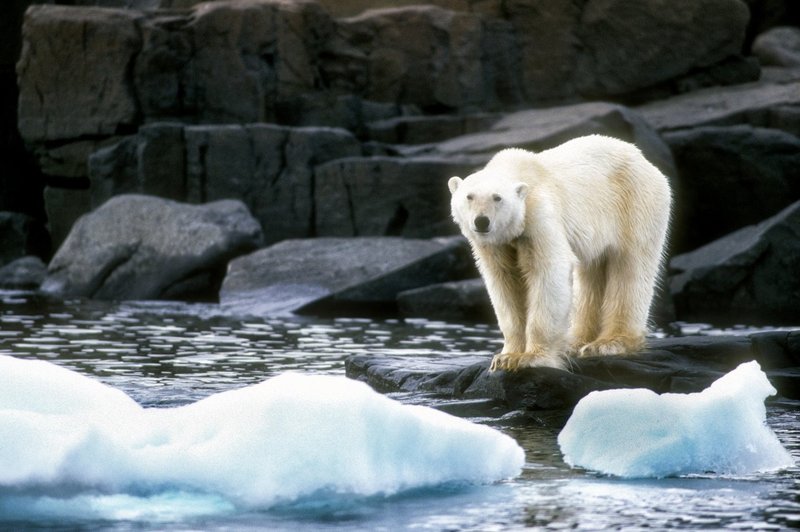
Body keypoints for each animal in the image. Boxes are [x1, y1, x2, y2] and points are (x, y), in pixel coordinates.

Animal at [450, 135, 668, 372]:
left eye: (497, 198)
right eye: (469, 196)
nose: (481, 221)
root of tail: (643, 159)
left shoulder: (539, 216)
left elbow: (548, 272)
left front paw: (531, 357)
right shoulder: (496, 245)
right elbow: (504, 282)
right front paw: (505, 357)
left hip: (635, 204)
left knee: (630, 268)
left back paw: (609, 343)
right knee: (590, 275)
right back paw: (577, 342)